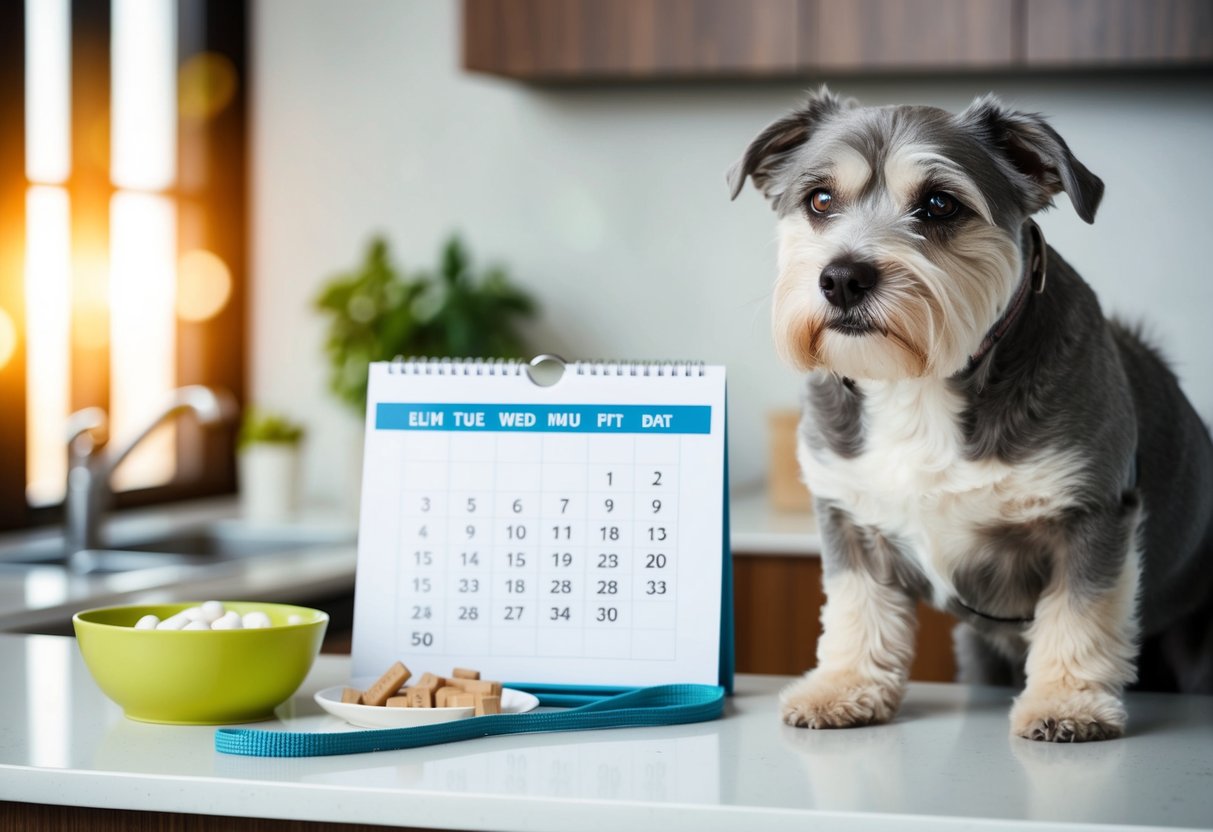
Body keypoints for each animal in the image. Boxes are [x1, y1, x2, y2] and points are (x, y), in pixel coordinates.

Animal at [727, 89, 1213, 742]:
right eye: (819, 200)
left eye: (939, 204)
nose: (842, 278)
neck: (919, 387)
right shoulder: (847, 516)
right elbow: (857, 607)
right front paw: (846, 684)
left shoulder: (1093, 513)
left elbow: (1080, 614)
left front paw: (1068, 702)